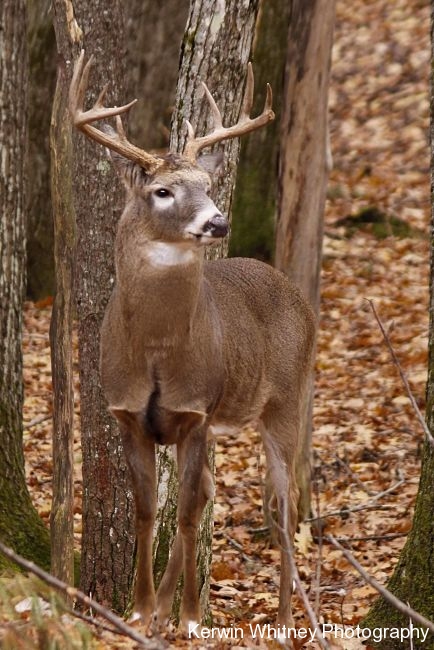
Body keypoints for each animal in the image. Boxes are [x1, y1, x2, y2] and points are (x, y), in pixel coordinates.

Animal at [69, 50, 315, 633]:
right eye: (162, 191)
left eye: (207, 182)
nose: (218, 221)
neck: (157, 353)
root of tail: (301, 300)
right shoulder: (127, 413)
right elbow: (146, 511)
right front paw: (140, 610)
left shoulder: (197, 409)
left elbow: (182, 513)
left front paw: (189, 618)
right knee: (212, 492)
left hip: (285, 400)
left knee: (284, 501)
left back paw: (285, 618)